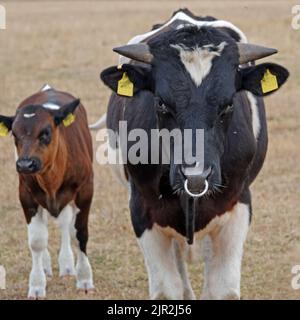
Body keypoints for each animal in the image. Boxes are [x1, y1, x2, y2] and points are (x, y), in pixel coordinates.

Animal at [0, 85, 94, 298]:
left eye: (45, 132)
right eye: (15, 135)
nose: (25, 164)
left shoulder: (85, 190)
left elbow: (80, 233)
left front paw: (84, 279)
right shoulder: (26, 196)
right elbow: (37, 240)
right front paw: (36, 285)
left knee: (66, 224)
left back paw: (67, 266)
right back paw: (46, 266)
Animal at [96, 10, 288, 300]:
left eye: (228, 104)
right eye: (161, 103)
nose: (196, 176)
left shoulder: (238, 206)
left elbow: (222, 288)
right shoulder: (142, 209)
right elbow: (167, 290)